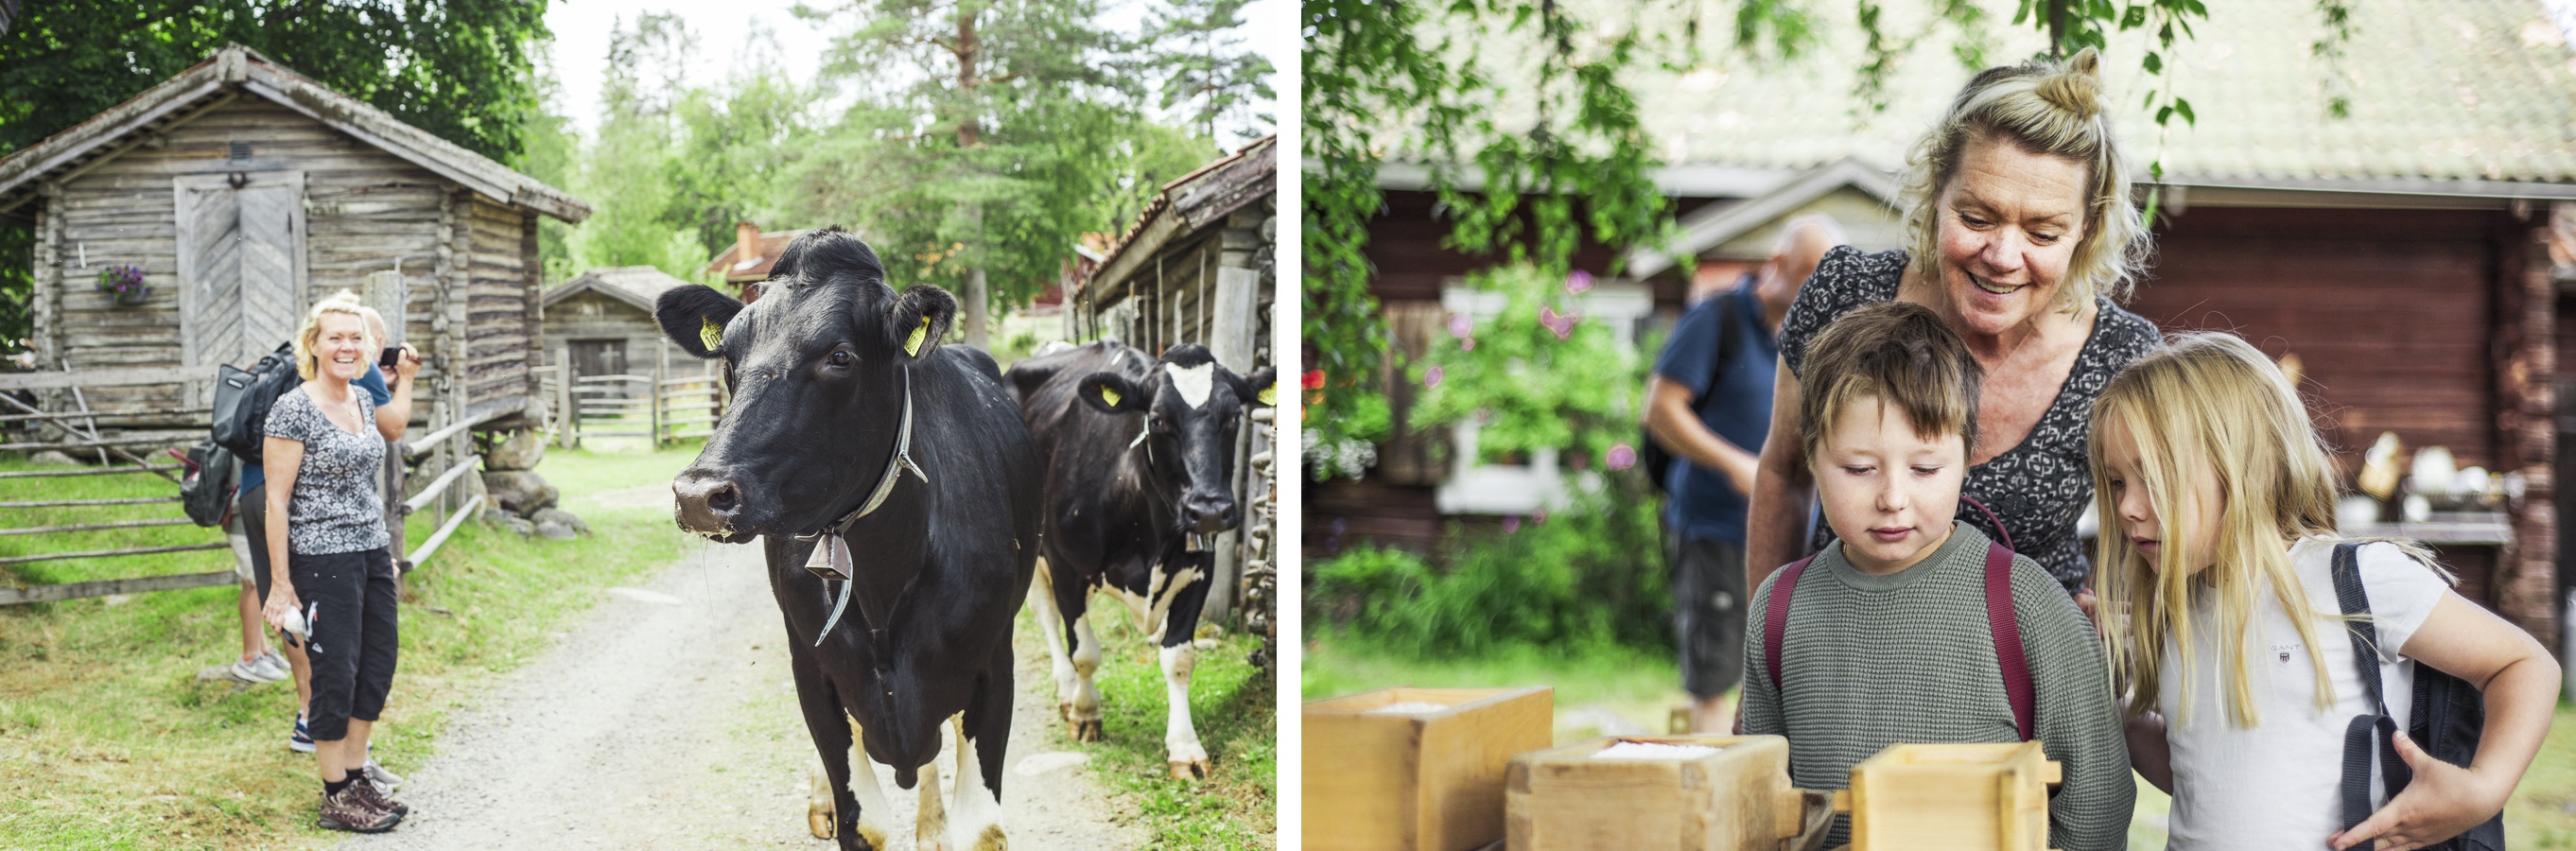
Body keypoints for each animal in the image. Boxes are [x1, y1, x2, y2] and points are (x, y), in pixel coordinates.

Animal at [653, 228, 1036, 851]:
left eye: (840, 357)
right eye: (729, 359)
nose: (699, 493)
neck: (885, 579)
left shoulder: (993, 668)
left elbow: (982, 828)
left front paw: (941, 825)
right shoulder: (817, 674)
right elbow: (864, 821)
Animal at [999, 342, 1272, 778]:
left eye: (1234, 417)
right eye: (1157, 420)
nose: (1209, 510)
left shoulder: (1199, 572)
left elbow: (1179, 659)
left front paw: (1185, 748)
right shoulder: (1066, 567)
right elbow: (1085, 652)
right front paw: (1085, 713)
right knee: (1046, 615)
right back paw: (1066, 690)